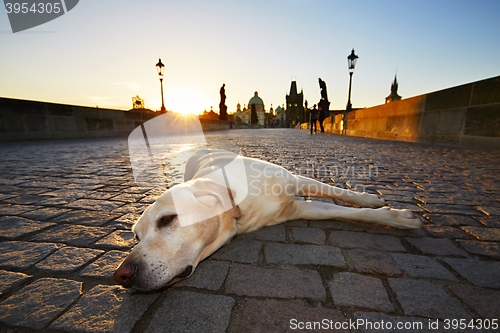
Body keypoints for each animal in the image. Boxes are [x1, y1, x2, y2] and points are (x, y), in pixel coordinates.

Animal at [113, 148, 422, 290]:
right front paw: (396, 216)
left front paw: (383, 207)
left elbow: (340, 194)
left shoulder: (297, 180)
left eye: (167, 220)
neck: (236, 200)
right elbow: (339, 210)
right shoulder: (299, 210)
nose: (121, 275)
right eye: (136, 236)